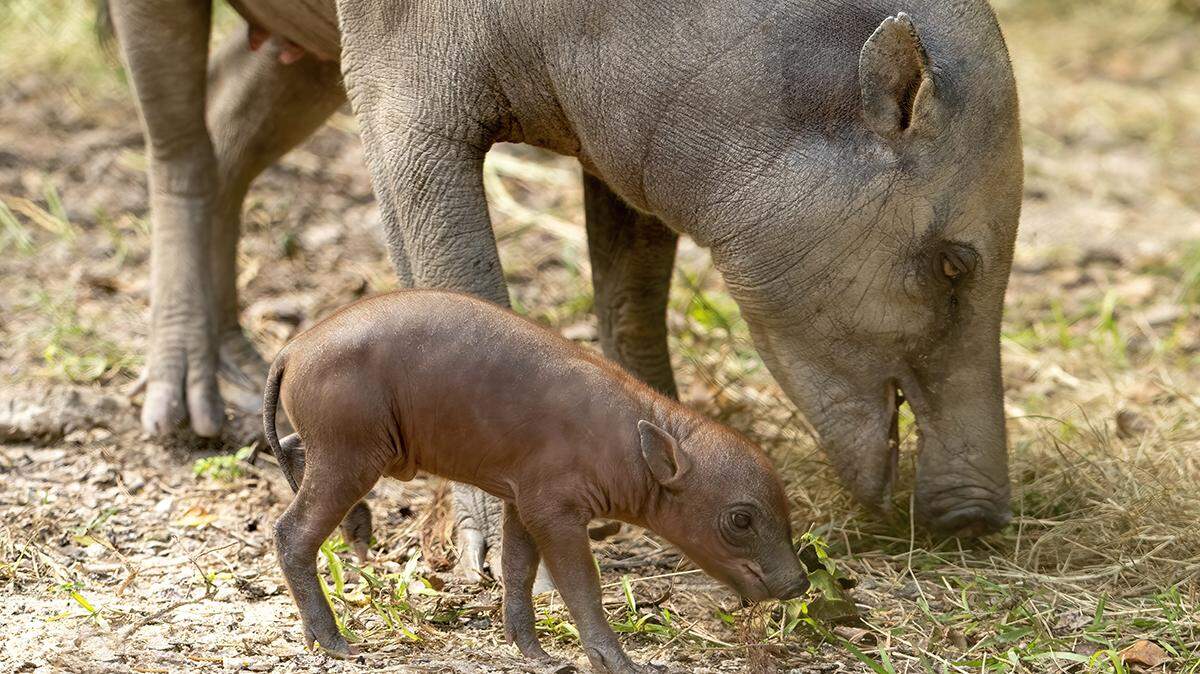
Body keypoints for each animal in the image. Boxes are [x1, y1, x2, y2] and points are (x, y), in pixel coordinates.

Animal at [104, 0, 1021, 577]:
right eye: (953, 264)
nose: (980, 515)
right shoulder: (403, 103)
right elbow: (459, 282)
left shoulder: (626, 149)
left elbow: (631, 299)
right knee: (180, 149)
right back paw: (187, 407)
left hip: (307, 51)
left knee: (229, 121)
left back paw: (236, 361)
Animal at [263, 290, 809, 671]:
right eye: (740, 520)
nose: (800, 582)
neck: (631, 443)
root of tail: (290, 351)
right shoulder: (555, 510)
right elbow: (581, 585)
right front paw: (619, 662)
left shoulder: (520, 501)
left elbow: (518, 570)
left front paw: (535, 654)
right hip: (352, 455)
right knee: (292, 532)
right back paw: (333, 642)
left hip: (347, 450)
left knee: (289, 447)